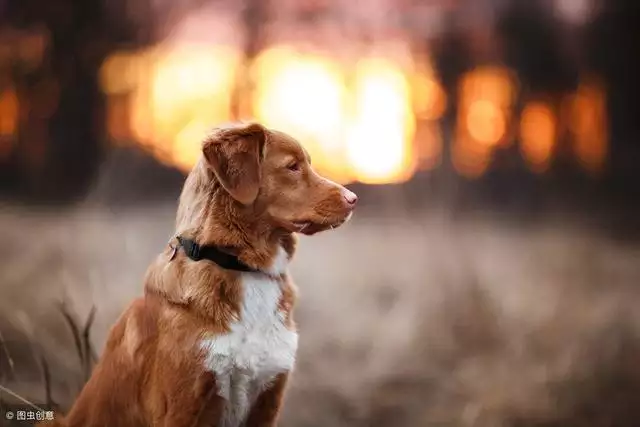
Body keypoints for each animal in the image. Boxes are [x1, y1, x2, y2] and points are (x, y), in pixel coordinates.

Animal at [41, 122, 356, 426]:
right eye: (292, 166)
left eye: (308, 164)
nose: (353, 198)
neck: (244, 267)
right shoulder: (182, 404)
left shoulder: (268, 401)